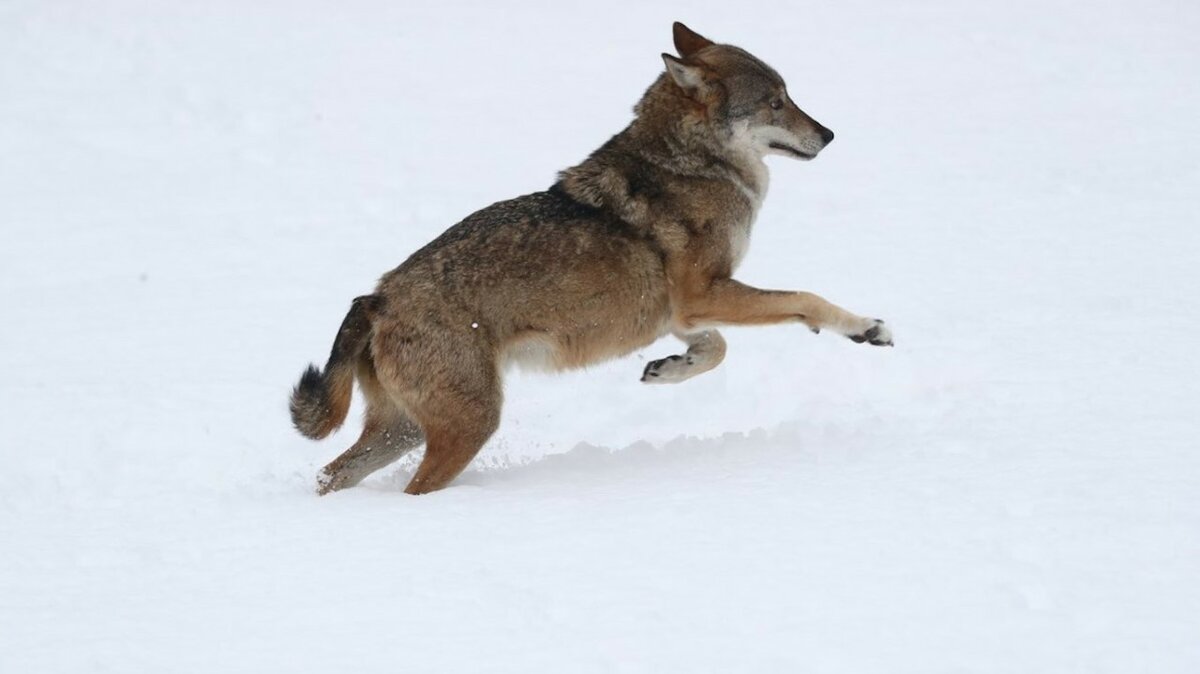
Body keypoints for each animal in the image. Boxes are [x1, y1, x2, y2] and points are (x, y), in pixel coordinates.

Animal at [289, 22, 894, 495]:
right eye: (776, 101)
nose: (829, 134)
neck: (694, 165)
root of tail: (376, 297)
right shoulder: (703, 294)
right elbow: (806, 299)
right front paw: (867, 329)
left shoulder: (683, 311)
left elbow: (715, 349)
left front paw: (669, 369)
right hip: (468, 425)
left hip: (405, 431)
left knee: (331, 474)